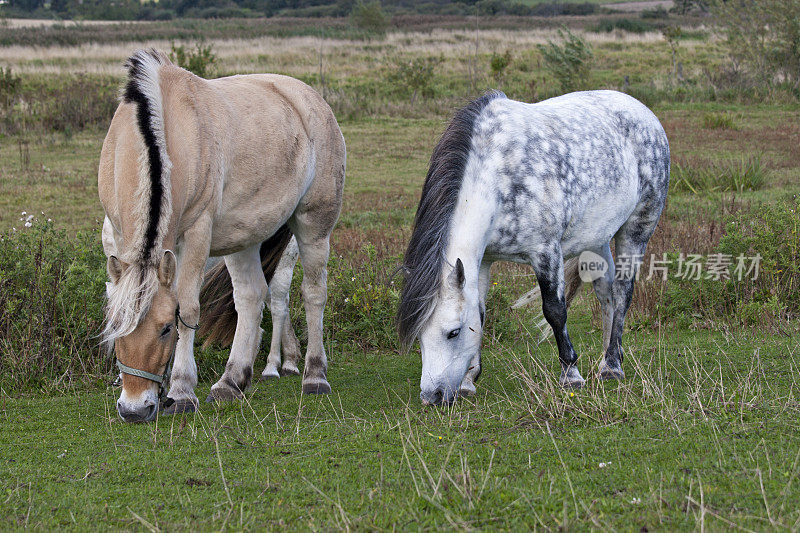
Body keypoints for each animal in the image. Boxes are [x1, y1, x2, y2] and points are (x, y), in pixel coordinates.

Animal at [99, 51, 344, 424]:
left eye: (166, 328)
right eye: (116, 327)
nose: (134, 409)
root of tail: (310, 97)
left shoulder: (196, 236)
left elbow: (189, 307)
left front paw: (182, 391)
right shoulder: (115, 234)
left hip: (314, 225)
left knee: (313, 293)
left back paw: (314, 375)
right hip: (244, 238)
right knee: (251, 296)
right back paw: (231, 381)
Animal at [398, 89, 668, 404]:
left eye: (453, 332)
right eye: (419, 336)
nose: (432, 396)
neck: (501, 178)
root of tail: (642, 111)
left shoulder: (546, 252)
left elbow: (555, 311)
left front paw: (571, 375)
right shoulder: (484, 260)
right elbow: (480, 312)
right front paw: (468, 381)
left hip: (637, 228)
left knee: (623, 290)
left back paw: (612, 365)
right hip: (597, 238)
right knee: (606, 291)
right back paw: (606, 359)